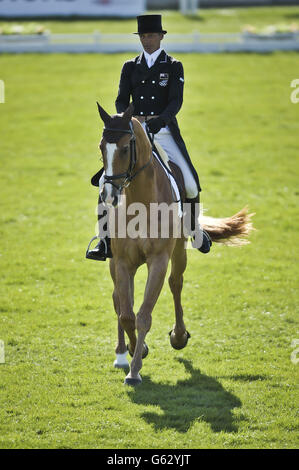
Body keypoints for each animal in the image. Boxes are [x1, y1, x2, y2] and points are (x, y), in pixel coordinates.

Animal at [96, 103, 255, 386]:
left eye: (125, 148)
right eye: (101, 147)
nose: (109, 194)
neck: (140, 201)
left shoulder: (159, 260)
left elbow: (143, 316)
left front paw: (135, 370)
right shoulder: (122, 261)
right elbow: (127, 314)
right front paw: (136, 353)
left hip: (179, 251)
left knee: (175, 283)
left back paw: (178, 336)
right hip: (115, 262)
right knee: (119, 300)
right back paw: (121, 354)